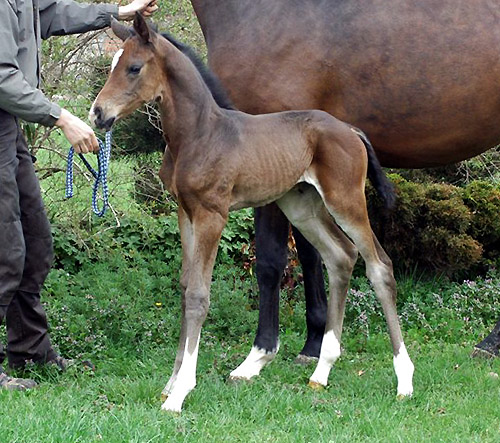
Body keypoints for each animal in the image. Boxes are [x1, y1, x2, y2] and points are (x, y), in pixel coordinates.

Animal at [90, 14, 414, 416]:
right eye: (113, 64)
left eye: (134, 67)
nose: (98, 113)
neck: (200, 134)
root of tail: (351, 130)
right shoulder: (186, 212)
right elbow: (185, 286)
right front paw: (169, 384)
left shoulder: (213, 215)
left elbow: (199, 295)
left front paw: (180, 393)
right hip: (302, 205)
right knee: (341, 257)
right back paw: (321, 372)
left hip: (346, 200)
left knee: (379, 266)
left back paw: (405, 380)